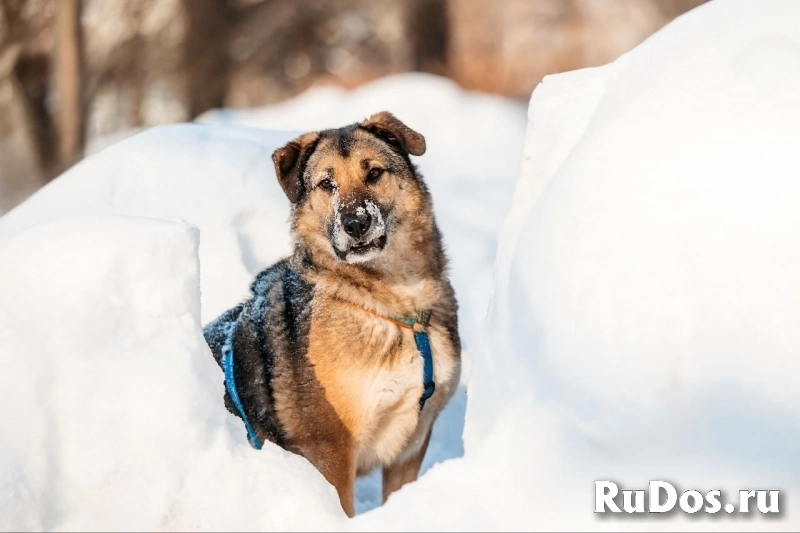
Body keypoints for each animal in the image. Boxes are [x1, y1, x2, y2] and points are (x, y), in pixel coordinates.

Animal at [203, 111, 460, 516]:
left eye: (374, 173)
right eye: (327, 184)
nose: (356, 224)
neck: (389, 305)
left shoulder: (412, 446)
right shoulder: (331, 451)